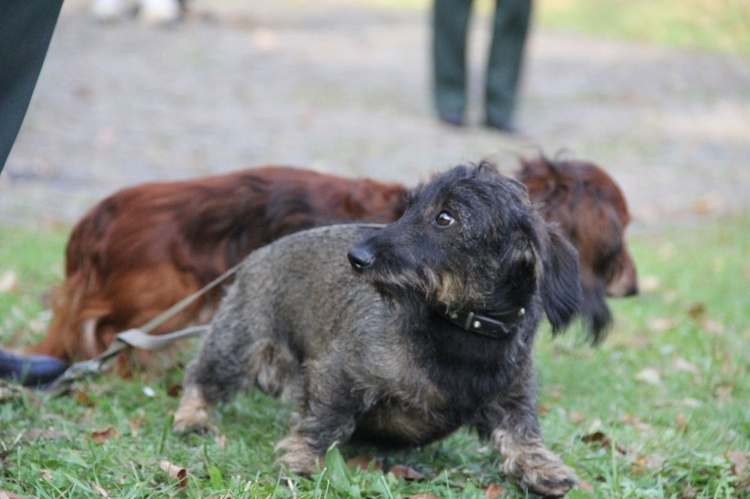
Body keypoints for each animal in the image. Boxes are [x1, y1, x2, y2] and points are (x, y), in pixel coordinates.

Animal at [175, 164, 580, 496]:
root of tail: (262, 252)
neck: (464, 328)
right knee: (201, 376)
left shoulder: (513, 396)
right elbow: (326, 419)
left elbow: (520, 431)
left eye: (445, 217)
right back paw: (192, 419)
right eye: (409, 207)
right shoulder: (340, 373)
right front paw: (304, 458)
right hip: (239, 344)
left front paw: (541, 467)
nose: (356, 257)